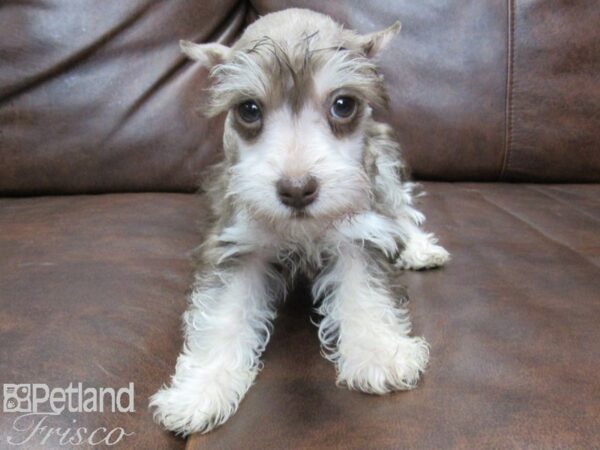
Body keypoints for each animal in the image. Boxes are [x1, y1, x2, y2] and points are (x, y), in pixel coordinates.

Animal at [151, 7, 450, 436]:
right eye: (248, 109)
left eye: (343, 104)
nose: (296, 190)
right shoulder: (237, 244)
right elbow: (223, 313)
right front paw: (199, 391)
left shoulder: (359, 232)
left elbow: (364, 291)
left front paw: (378, 352)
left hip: (383, 163)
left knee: (401, 207)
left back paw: (420, 247)